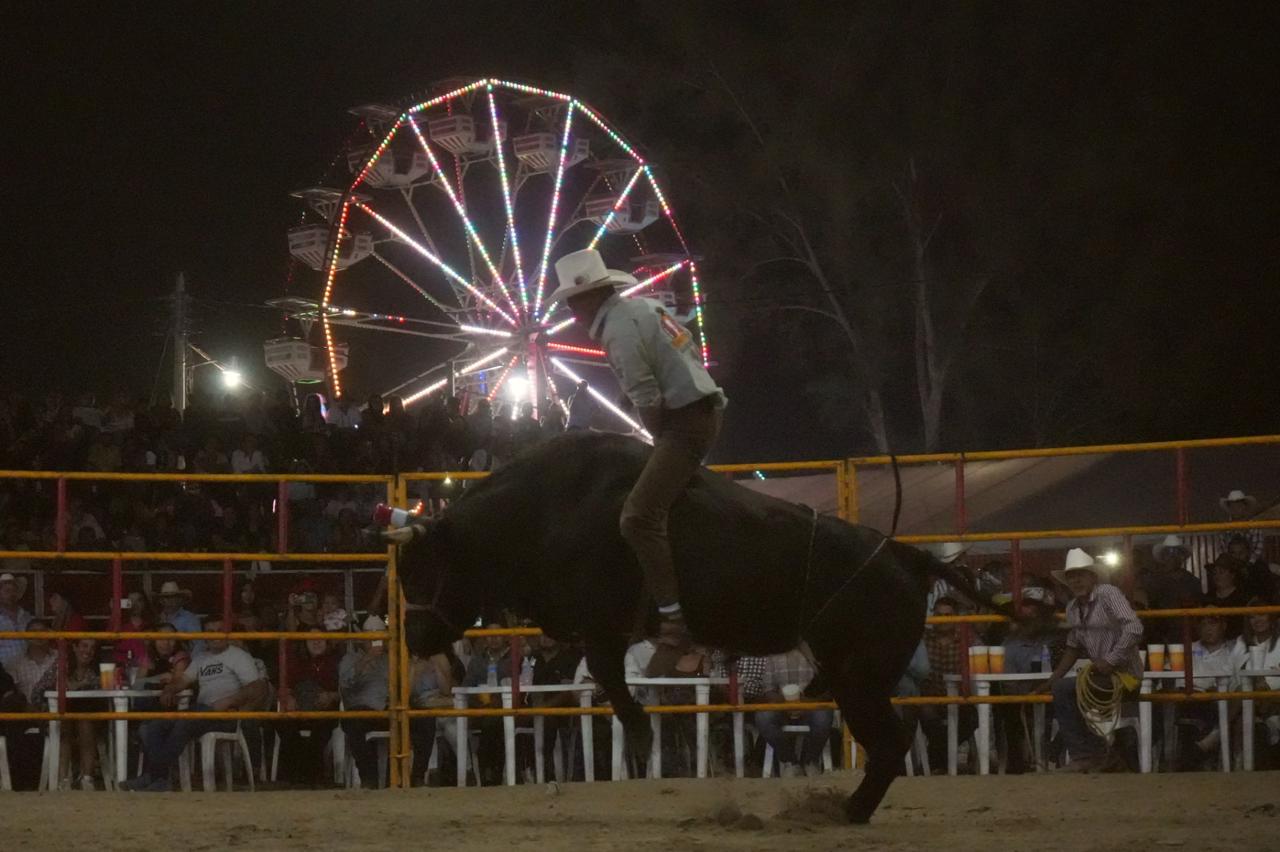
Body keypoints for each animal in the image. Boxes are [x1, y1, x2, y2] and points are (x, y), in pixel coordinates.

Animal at [396, 432, 977, 823]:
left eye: (423, 571)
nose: (414, 637)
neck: (545, 509)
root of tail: (906, 558)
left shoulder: (604, 623)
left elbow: (606, 671)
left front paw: (638, 731)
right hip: (857, 680)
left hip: (860, 679)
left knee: (891, 743)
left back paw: (848, 811)